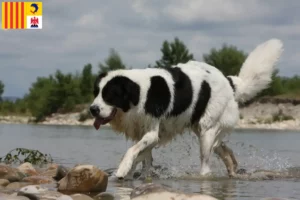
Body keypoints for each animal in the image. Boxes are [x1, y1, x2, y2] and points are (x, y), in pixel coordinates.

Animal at [89, 39, 284, 180]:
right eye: (96, 92)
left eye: (110, 96)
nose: (92, 109)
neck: (138, 94)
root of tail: (228, 80)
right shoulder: (142, 132)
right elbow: (143, 156)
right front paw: (137, 174)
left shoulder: (152, 132)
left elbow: (133, 151)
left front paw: (122, 170)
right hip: (205, 128)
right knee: (223, 149)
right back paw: (233, 169)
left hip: (207, 130)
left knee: (206, 162)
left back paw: (204, 176)